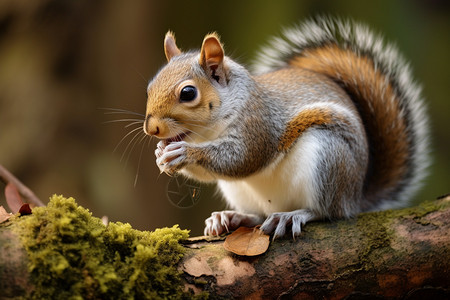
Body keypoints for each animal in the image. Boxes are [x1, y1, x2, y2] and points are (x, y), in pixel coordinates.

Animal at [143, 18, 428, 239]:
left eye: (188, 93)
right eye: (149, 87)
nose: (151, 129)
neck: (209, 133)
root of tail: (355, 197)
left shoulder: (258, 124)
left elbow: (242, 159)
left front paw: (185, 153)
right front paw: (160, 154)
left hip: (328, 158)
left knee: (327, 212)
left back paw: (293, 216)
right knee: (259, 216)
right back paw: (231, 217)